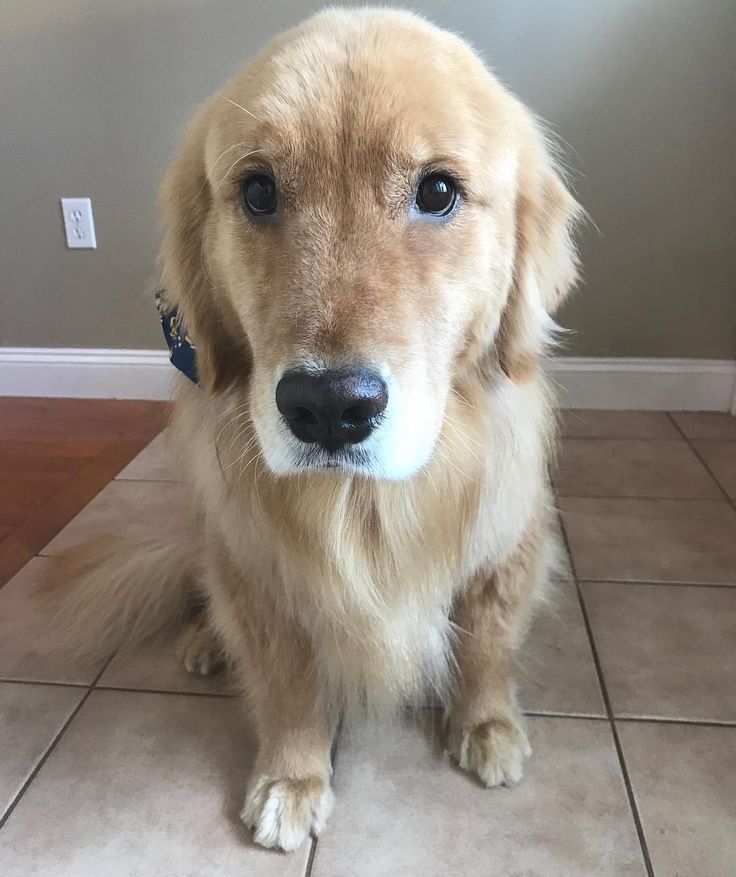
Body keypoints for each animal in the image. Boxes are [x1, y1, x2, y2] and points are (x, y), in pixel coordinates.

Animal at [43, 6, 580, 852]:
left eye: (437, 190)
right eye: (258, 190)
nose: (329, 405)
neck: (361, 506)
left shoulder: (507, 543)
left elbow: (489, 644)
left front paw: (487, 724)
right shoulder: (261, 571)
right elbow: (287, 684)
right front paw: (292, 779)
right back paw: (206, 639)